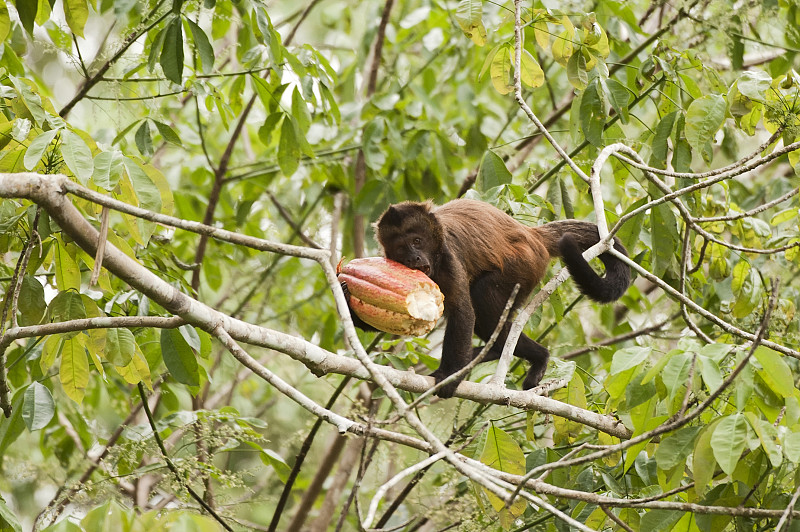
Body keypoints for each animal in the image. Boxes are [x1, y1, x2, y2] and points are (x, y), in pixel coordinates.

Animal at [344, 197, 632, 396]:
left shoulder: (449, 258)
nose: (413, 258)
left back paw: (538, 357)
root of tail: (532, 234)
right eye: (401, 248)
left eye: (416, 241)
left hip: (524, 266)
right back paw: (498, 352)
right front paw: (346, 294)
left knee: (483, 302)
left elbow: (463, 311)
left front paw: (449, 376)